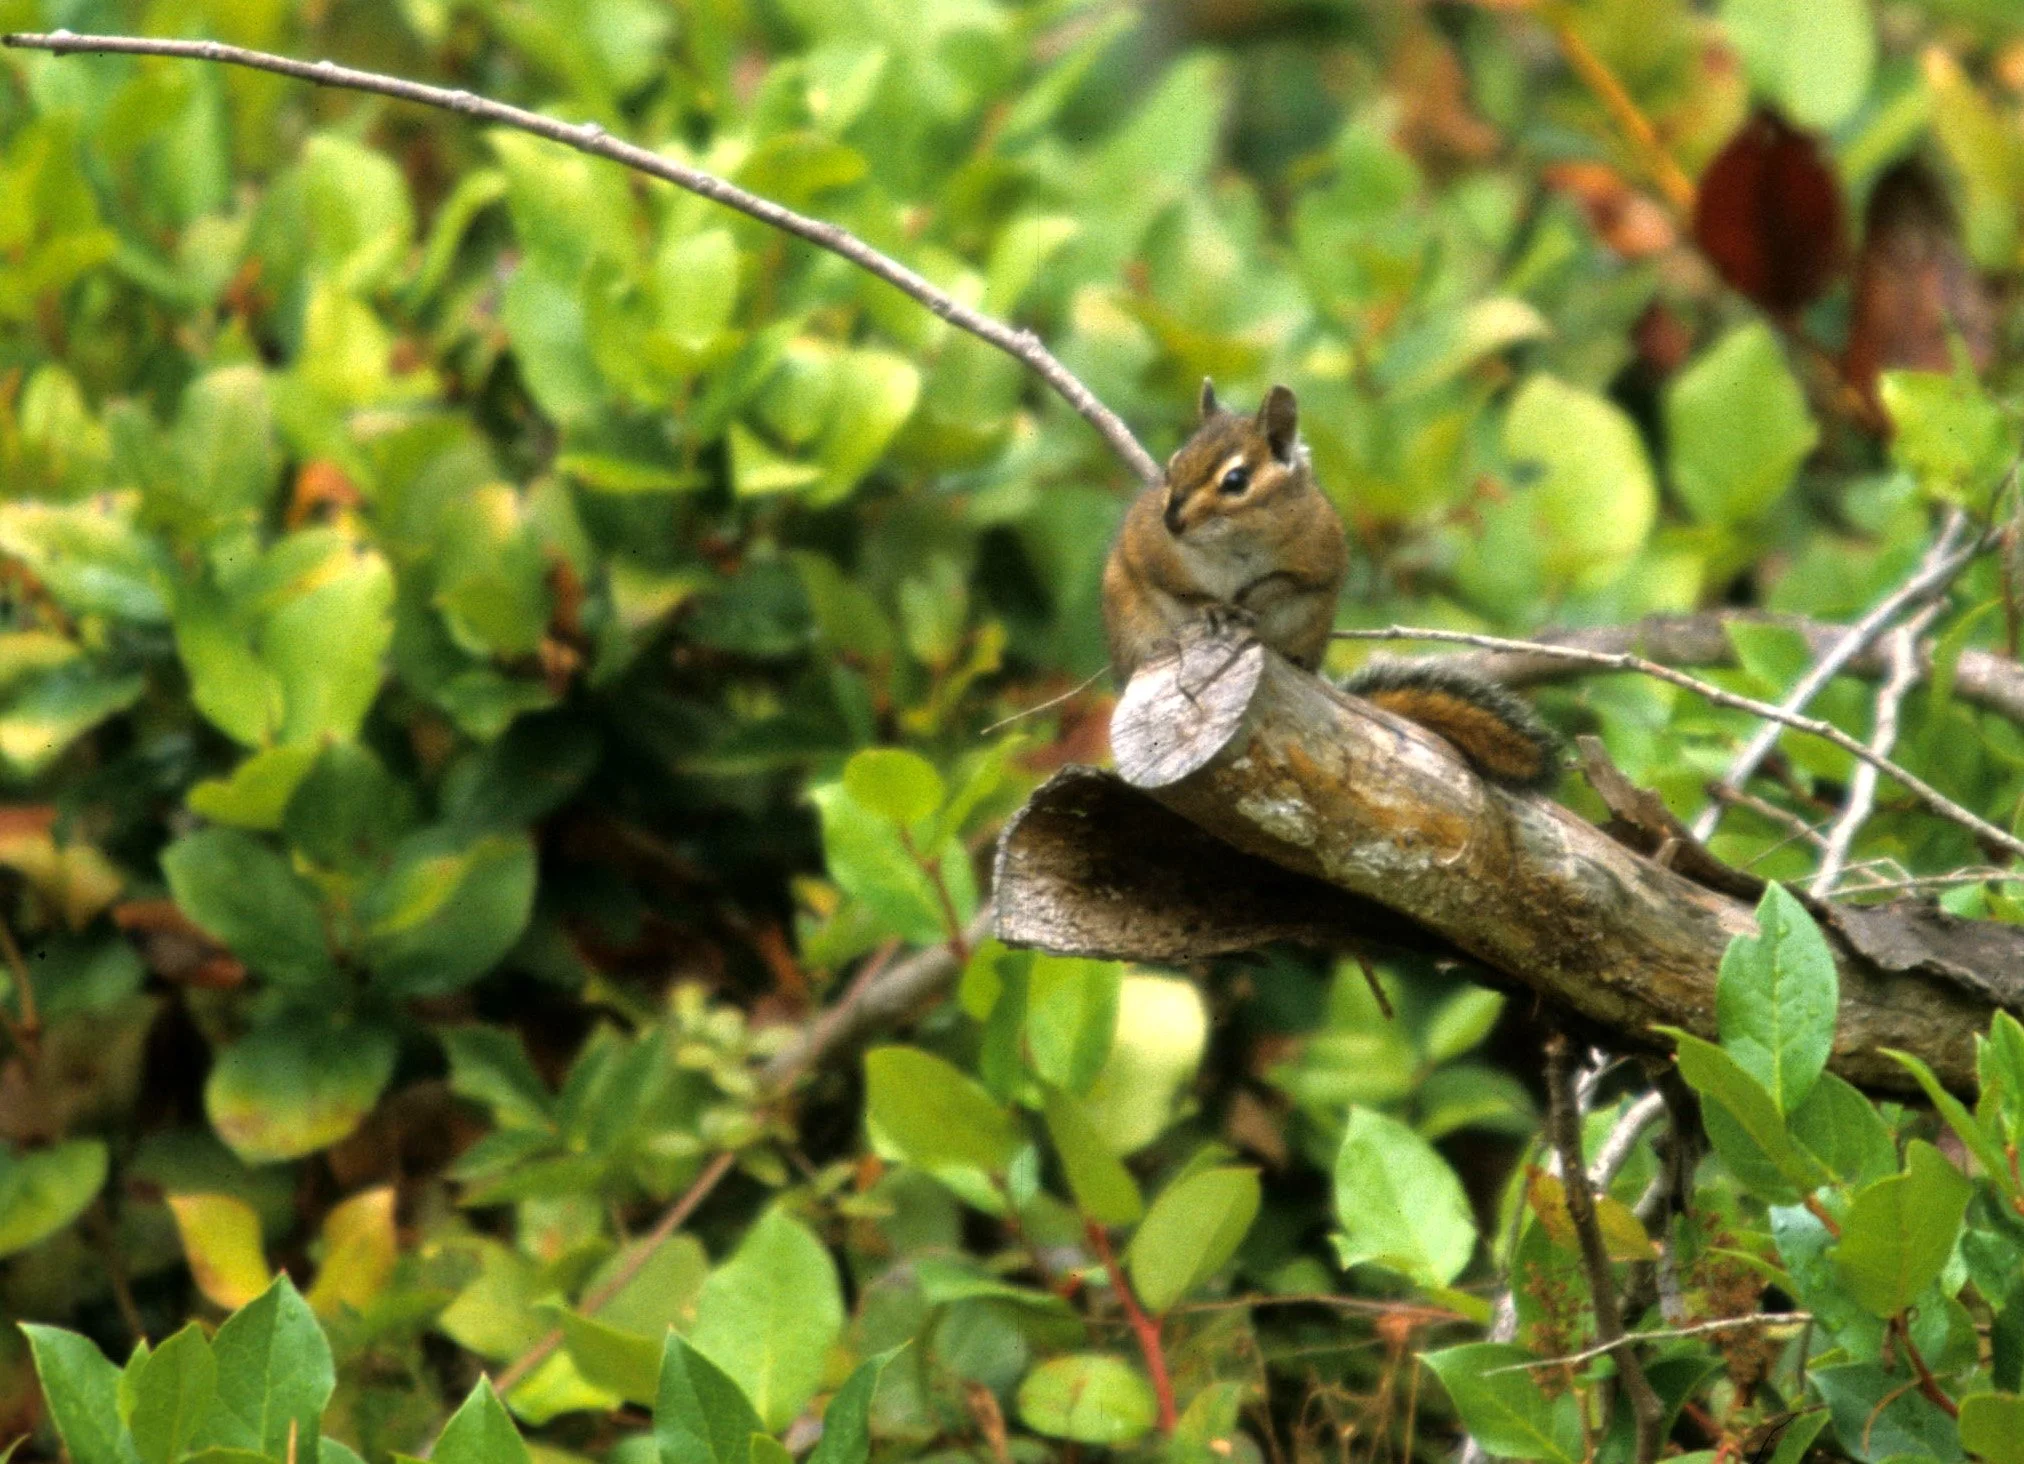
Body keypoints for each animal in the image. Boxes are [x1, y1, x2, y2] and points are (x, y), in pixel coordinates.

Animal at [1101, 380, 1562, 791]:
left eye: (1235, 481)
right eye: (1170, 468)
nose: (1172, 520)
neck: (1234, 546)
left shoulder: (1319, 554)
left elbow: (1290, 583)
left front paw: (1256, 599)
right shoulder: (1150, 551)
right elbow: (1174, 587)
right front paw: (1214, 607)